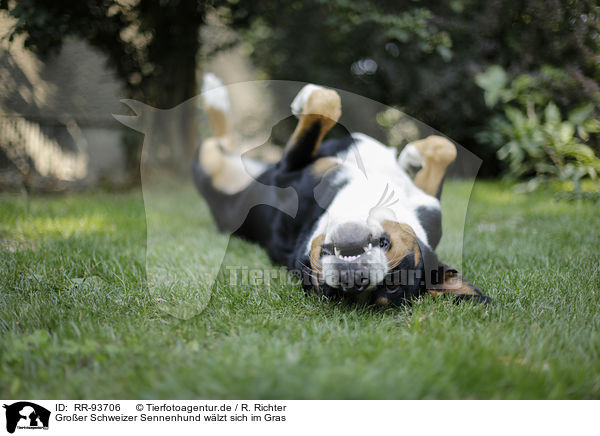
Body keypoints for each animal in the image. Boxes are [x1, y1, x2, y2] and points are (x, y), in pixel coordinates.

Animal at [192, 76, 488, 304]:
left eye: (391, 286)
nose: (354, 281)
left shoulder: (286, 171)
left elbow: (325, 105)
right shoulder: (428, 205)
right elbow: (445, 148)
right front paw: (411, 156)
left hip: (211, 170)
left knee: (216, 142)